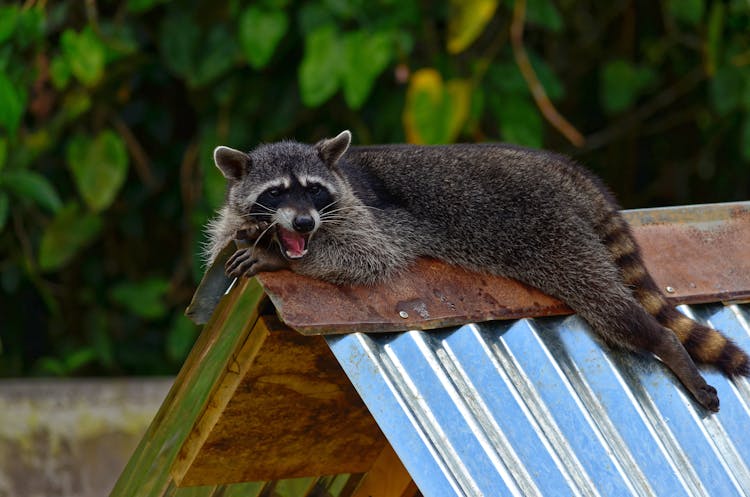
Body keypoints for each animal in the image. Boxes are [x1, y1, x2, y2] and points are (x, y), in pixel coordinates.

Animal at [207, 129, 750, 410]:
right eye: (276, 192)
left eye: (314, 190)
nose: (302, 222)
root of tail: (561, 169)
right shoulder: (234, 220)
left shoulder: (376, 216)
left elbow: (371, 256)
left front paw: (278, 257)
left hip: (554, 230)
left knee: (613, 307)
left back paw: (665, 344)